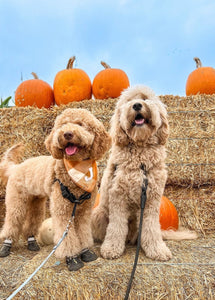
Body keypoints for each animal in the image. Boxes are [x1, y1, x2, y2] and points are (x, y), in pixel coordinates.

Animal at [0, 108, 111, 272]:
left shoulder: (83, 213)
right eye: (62, 125)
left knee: (31, 222)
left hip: (36, 202)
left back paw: (32, 242)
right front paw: (72, 258)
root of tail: (16, 167)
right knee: (12, 222)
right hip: (16, 201)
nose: (67, 134)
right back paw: (6, 246)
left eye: (80, 124)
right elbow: (67, 238)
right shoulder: (62, 211)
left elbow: (83, 233)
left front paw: (86, 251)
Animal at [91, 84, 197, 260]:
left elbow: (151, 228)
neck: (140, 157)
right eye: (129, 101)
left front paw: (157, 249)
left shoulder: (151, 199)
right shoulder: (118, 197)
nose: (136, 105)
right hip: (99, 214)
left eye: (145, 98)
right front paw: (112, 248)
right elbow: (116, 227)